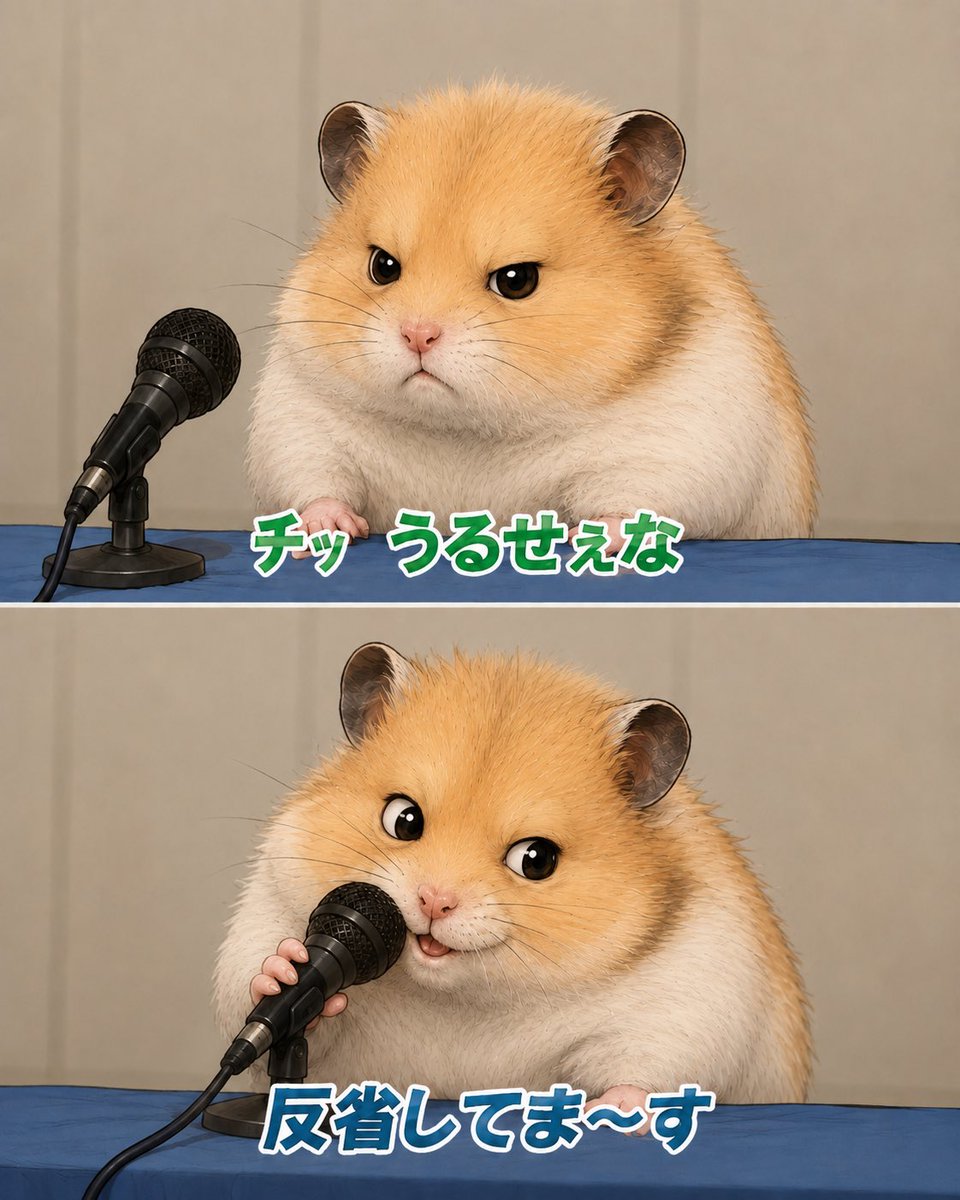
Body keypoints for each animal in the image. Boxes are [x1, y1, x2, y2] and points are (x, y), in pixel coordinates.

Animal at [213, 643, 812, 1111]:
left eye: (536, 860)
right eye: (403, 819)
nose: (434, 902)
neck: (463, 1001)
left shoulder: (693, 998)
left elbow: (647, 1064)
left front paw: (613, 1112)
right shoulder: (270, 907)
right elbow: (270, 999)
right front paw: (282, 967)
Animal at [246, 81, 817, 548]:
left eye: (516, 280)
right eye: (382, 265)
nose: (417, 336)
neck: (466, 433)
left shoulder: (680, 445)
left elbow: (635, 501)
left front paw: (596, 539)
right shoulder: (296, 418)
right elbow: (315, 480)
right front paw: (330, 530)